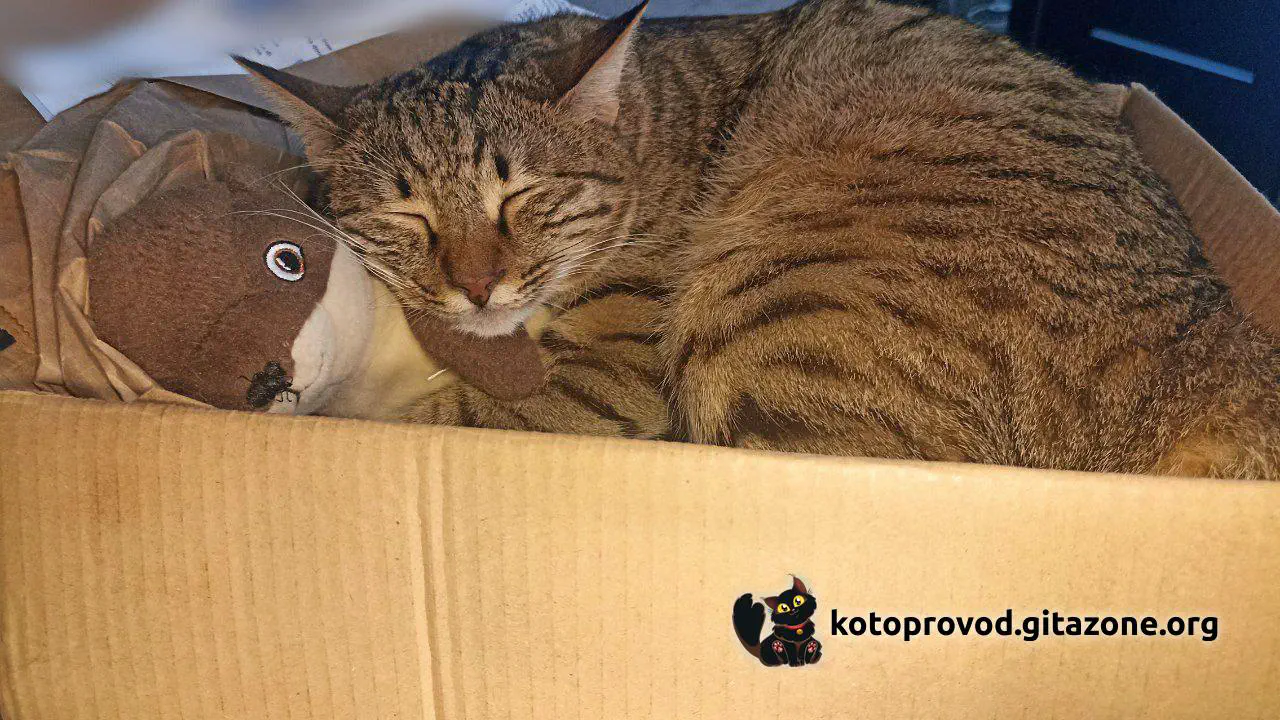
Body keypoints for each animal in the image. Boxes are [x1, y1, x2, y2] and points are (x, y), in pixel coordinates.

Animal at [238, 0, 1280, 479]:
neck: (646, 130)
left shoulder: (606, 385)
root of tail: (1218, 345)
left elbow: (433, 416)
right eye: (408, 218)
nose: (479, 288)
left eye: (523, 196)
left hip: (772, 308)